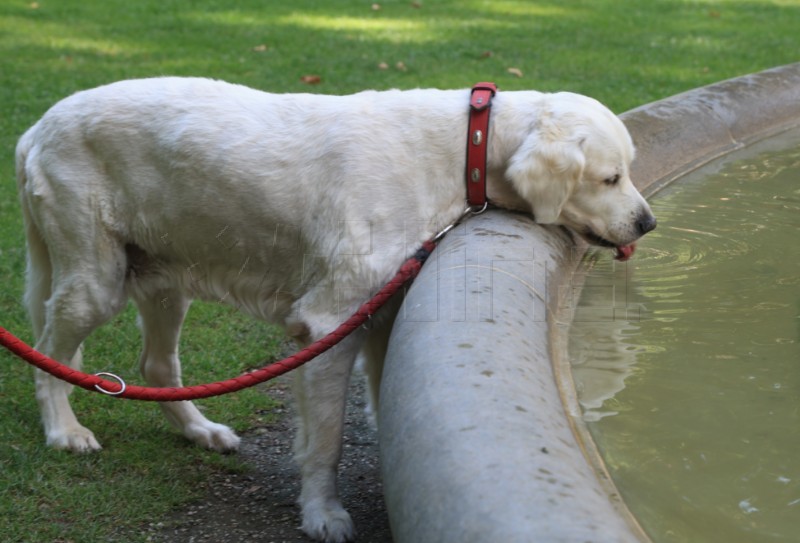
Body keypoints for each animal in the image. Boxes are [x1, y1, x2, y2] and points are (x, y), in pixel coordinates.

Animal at [15, 77, 656, 543]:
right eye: (610, 178)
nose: (649, 222)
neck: (460, 153)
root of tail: (39, 125)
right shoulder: (329, 323)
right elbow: (326, 440)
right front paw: (323, 514)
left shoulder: (386, 308)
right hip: (95, 280)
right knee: (49, 359)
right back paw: (64, 431)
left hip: (164, 278)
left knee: (154, 368)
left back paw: (201, 431)